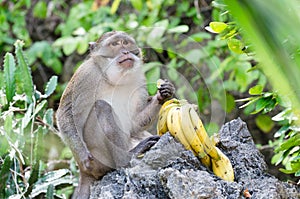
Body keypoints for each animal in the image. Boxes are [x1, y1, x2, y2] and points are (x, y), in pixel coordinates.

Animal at [55, 30, 176, 198]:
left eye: (125, 43)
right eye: (114, 44)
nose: (125, 51)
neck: (115, 78)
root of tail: (84, 174)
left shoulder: (139, 77)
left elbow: (134, 123)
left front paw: (164, 94)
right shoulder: (86, 74)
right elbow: (65, 114)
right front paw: (83, 155)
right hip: (100, 157)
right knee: (102, 107)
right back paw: (127, 158)